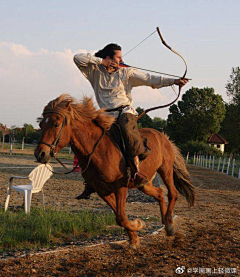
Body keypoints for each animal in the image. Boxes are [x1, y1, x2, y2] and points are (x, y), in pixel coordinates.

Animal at [34, 94, 195, 248]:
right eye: (41, 124)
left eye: (56, 124)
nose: (40, 154)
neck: (98, 150)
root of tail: (164, 137)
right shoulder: (102, 191)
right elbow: (119, 217)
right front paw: (134, 238)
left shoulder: (120, 187)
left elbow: (121, 217)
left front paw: (138, 225)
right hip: (144, 183)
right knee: (160, 193)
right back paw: (166, 223)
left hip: (166, 169)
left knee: (173, 193)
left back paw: (169, 224)